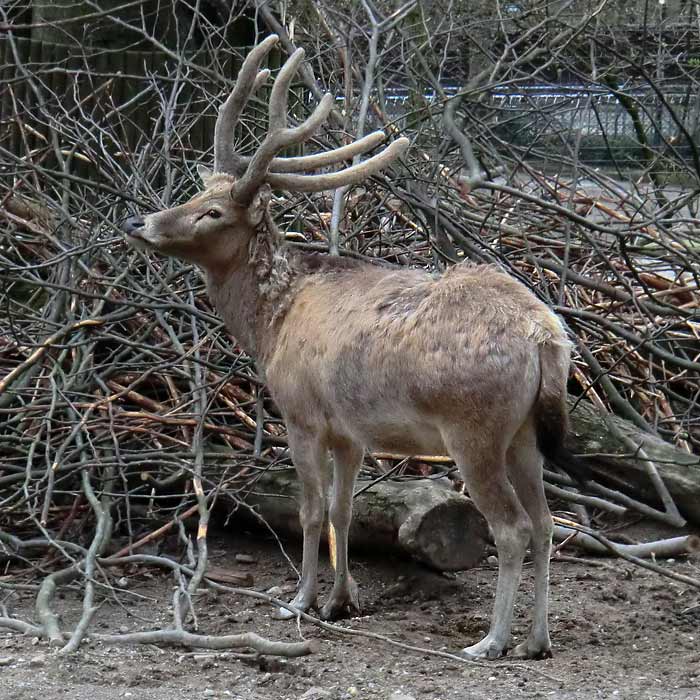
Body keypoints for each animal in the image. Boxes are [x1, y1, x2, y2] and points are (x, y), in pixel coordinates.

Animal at [123, 34, 572, 660]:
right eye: (195, 192)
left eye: (212, 211)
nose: (140, 222)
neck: (271, 326)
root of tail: (545, 335)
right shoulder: (351, 430)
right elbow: (344, 509)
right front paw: (342, 600)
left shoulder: (301, 412)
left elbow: (311, 510)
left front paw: (299, 601)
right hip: (524, 431)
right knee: (548, 523)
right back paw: (537, 639)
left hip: (474, 427)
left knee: (512, 527)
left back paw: (490, 641)